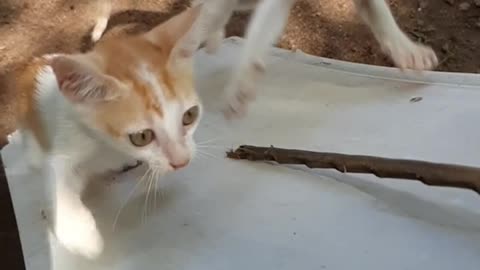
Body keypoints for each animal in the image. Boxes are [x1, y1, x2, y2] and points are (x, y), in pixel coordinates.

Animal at [15, 5, 202, 260]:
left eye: (189, 116)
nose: (182, 162)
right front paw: (80, 234)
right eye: (141, 137)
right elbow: (57, 173)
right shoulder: (66, 136)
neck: (108, 148)